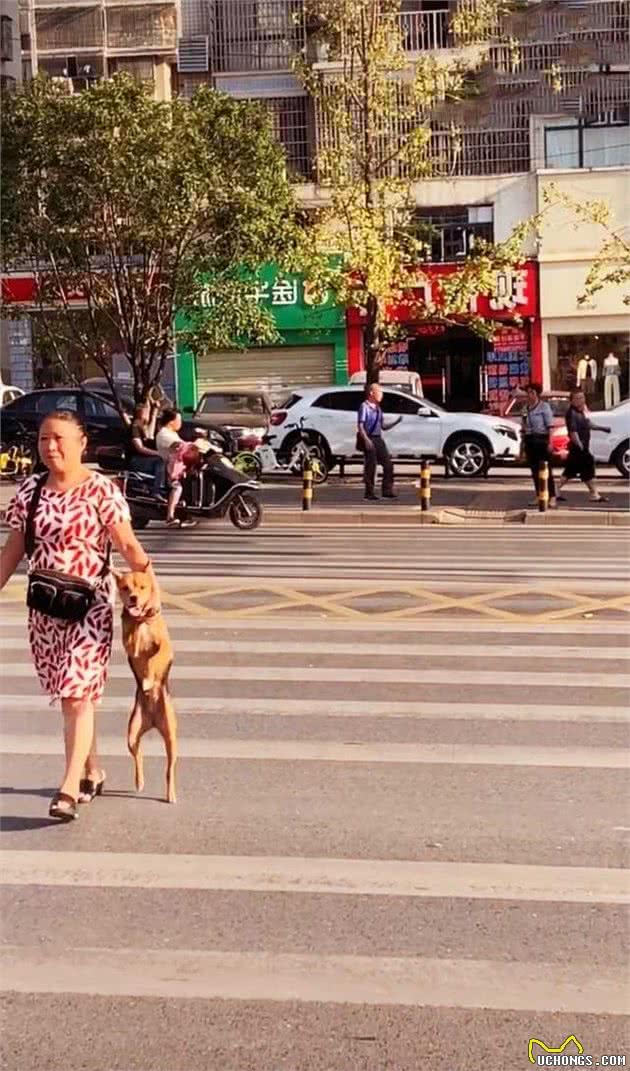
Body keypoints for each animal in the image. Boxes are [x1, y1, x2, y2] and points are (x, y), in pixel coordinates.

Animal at [115, 574, 176, 801]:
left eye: (142, 587)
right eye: (125, 588)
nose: (133, 598)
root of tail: (153, 721)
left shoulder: (165, 648)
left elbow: (155, 655)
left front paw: (149, 677)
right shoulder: (128, 645)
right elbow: (133, 643)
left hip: (171, 738)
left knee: (169, 769)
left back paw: (171, 794)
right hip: (132, 735)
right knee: (138, 756)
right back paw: (139, 781)